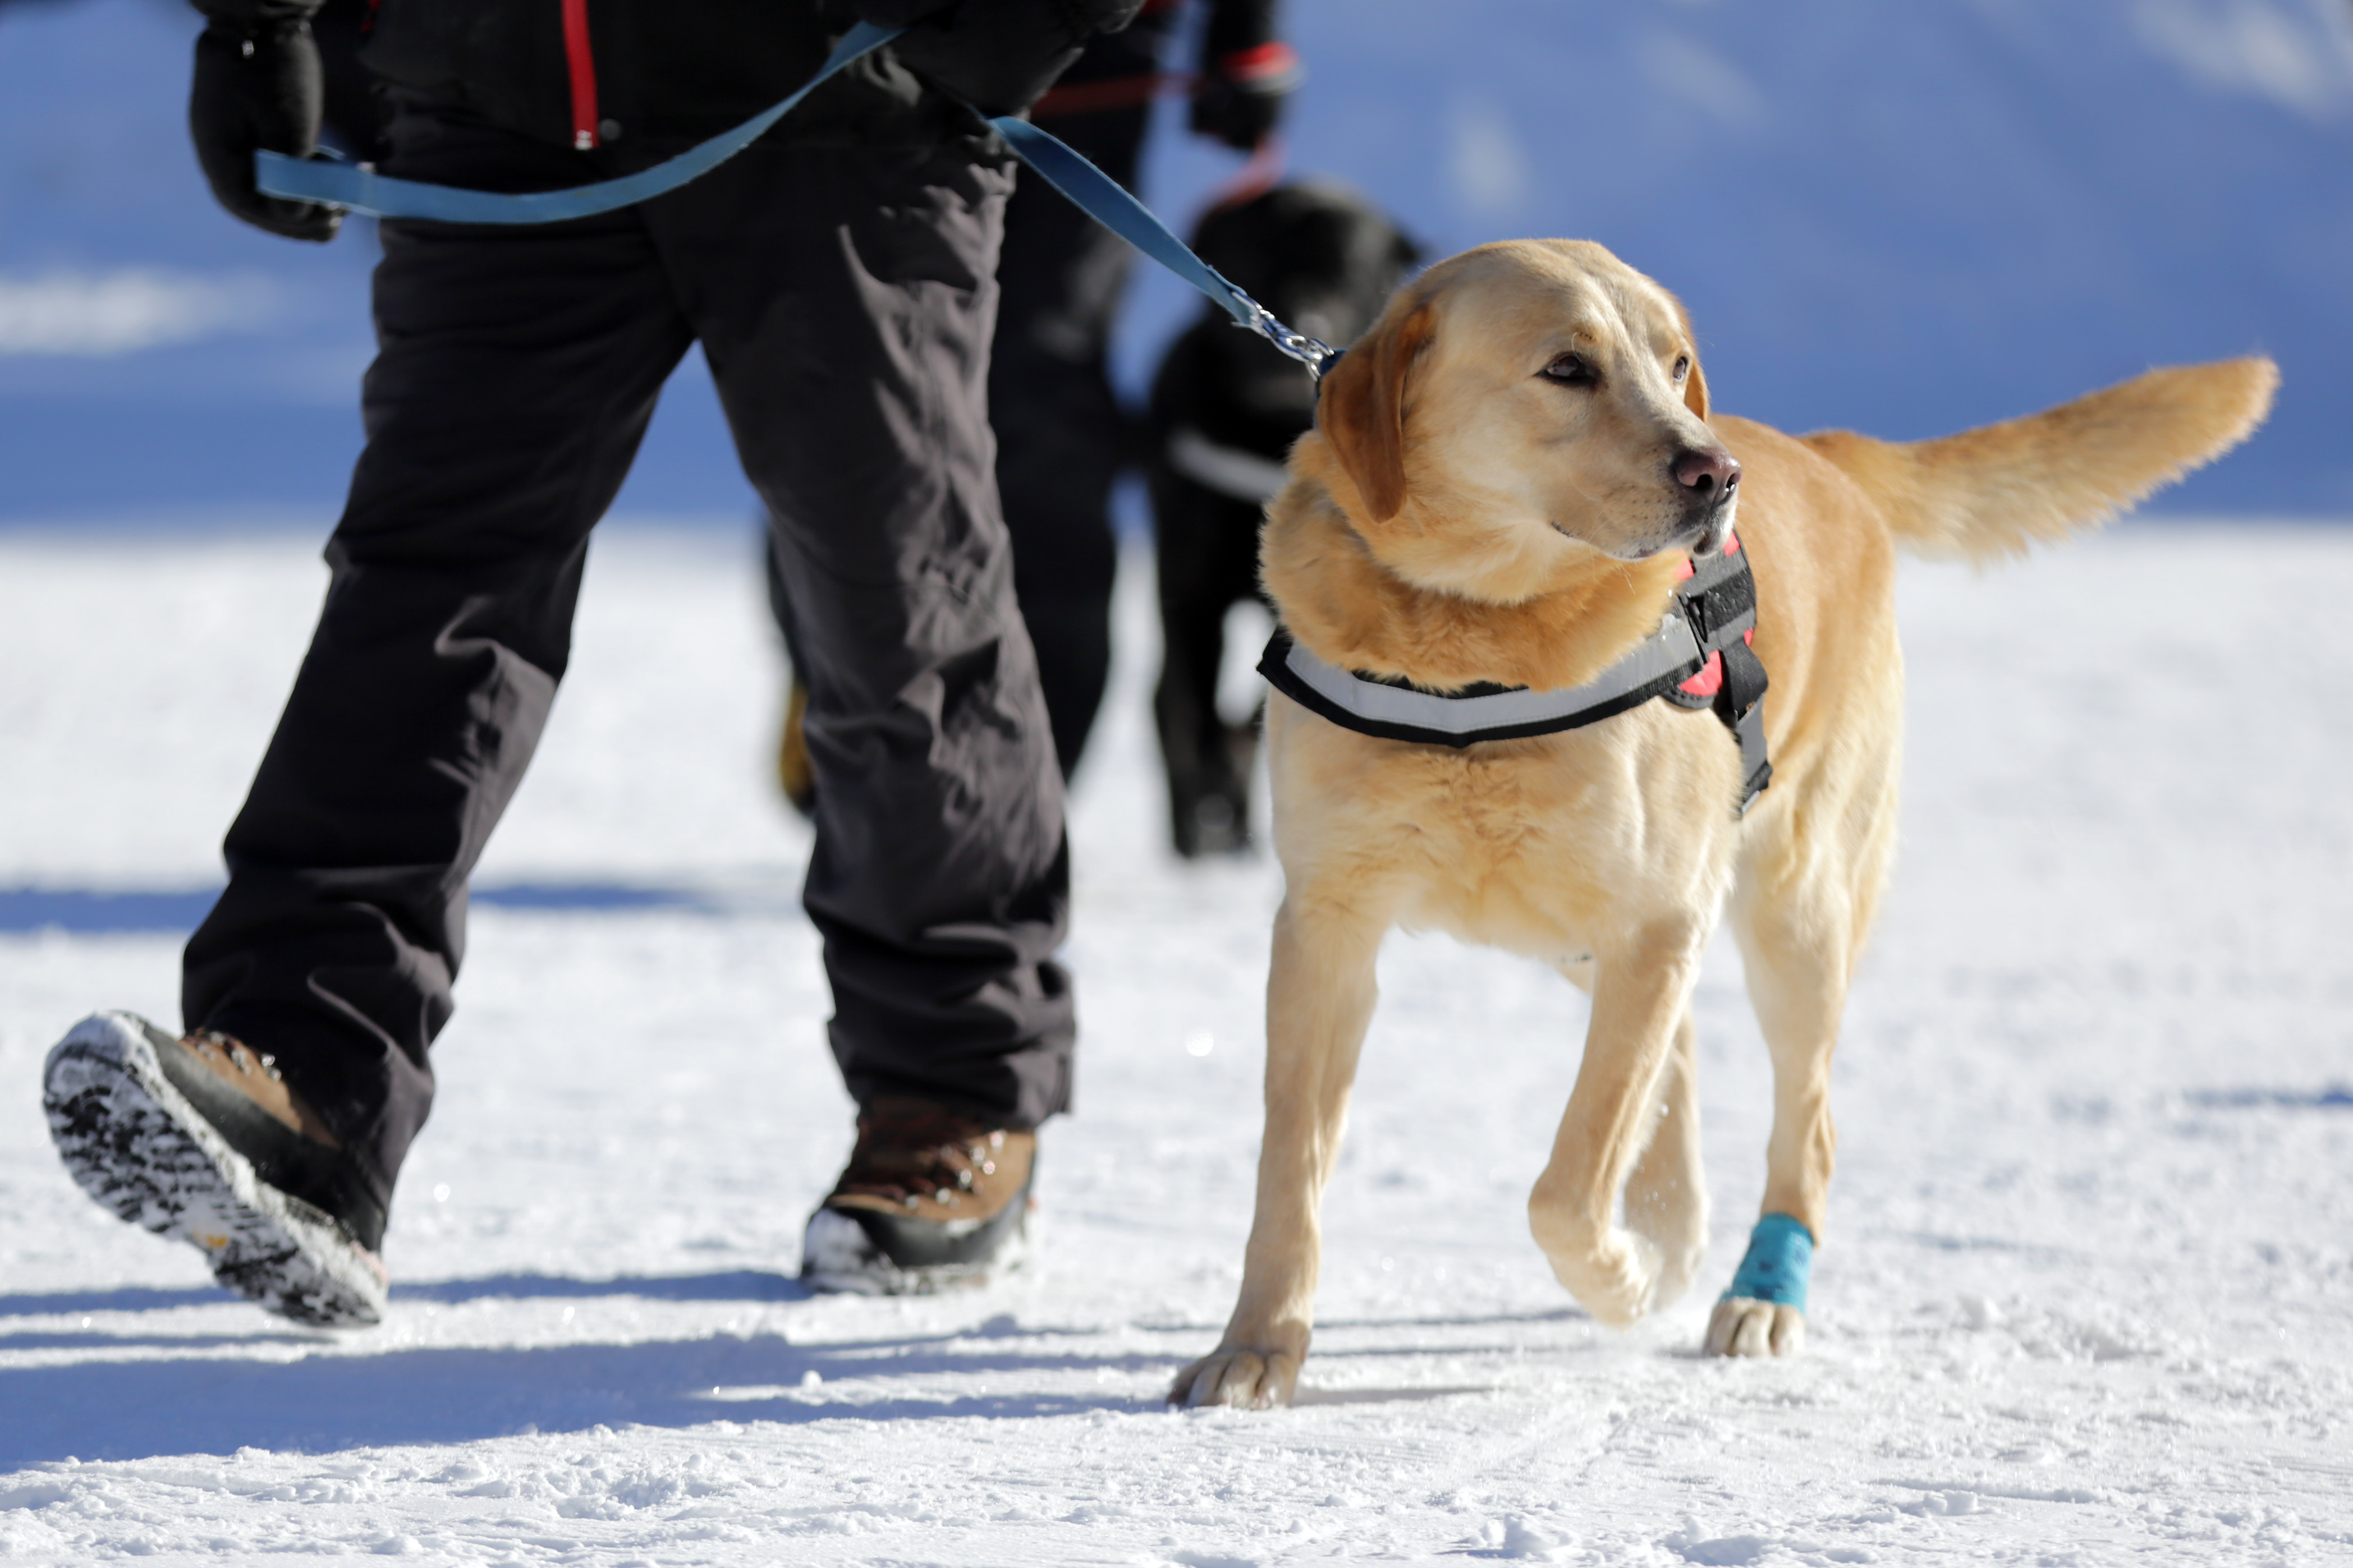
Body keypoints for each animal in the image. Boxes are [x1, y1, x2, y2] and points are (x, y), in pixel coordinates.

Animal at [1143, 182, 1411, 860]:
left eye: (1350, 269)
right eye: (1255, 258)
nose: (1308, 320)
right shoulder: (1191, 588)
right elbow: (1193, 708)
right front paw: (1210, 782)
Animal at [1176, 242, 2277, 1410]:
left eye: (1673, 364)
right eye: (1566, 368)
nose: (1717, 475)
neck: (1475, 657)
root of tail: (1822, 454)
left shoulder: (1655, 918)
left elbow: (1568, 1185)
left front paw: (1618, 1279)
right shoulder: (1327, 928)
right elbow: (1289, 1170)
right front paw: (1257, 1346)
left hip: (1792, 914)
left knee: (1803, 1121)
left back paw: (1753, 1291)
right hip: (1598, 932)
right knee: (1680, 1054)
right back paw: (1677, 1238)